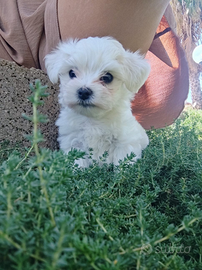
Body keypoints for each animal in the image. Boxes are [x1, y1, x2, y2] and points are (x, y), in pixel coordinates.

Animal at [45, 36, 150, 166]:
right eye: (71, 73)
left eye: (107, 77)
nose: (83, 92)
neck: (93, 120)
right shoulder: (73, 142)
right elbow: (77, 163)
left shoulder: (125, 143)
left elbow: (122, 164)